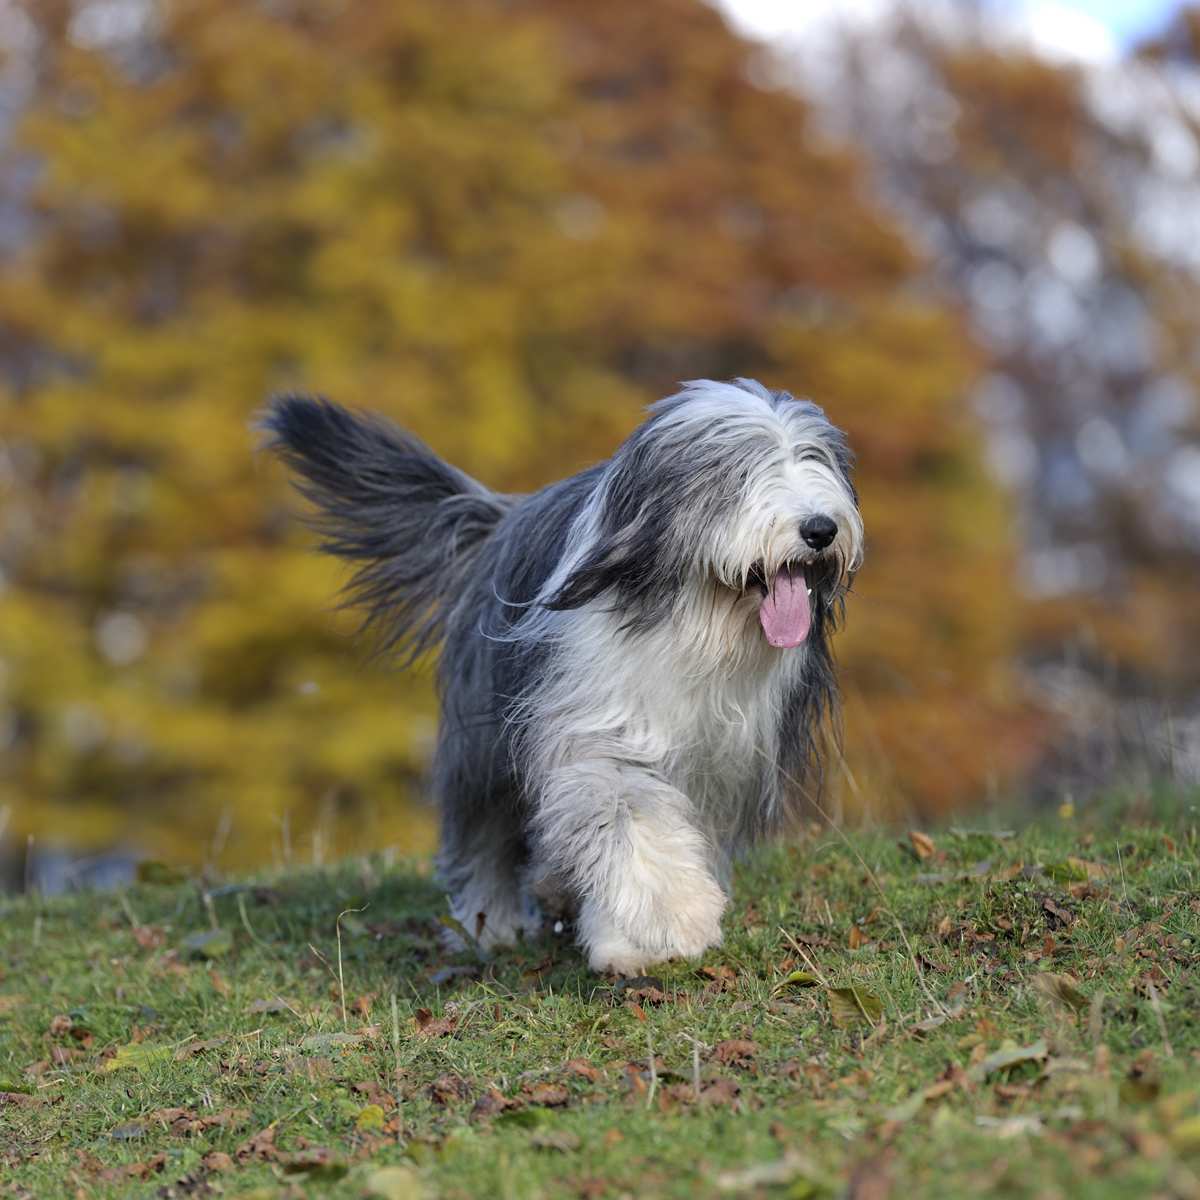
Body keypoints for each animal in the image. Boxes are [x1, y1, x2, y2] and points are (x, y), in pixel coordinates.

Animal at [266, 381, 859, 974]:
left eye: (816, 459)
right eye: (740, 473)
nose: (821, 529)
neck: (694, 626)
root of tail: (500, 517)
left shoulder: (723, 763)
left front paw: (626, 940)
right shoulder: (595, 724)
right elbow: (627, 815)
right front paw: (675, 914)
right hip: (484, 737)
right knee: (484, 828)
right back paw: (489, 922)